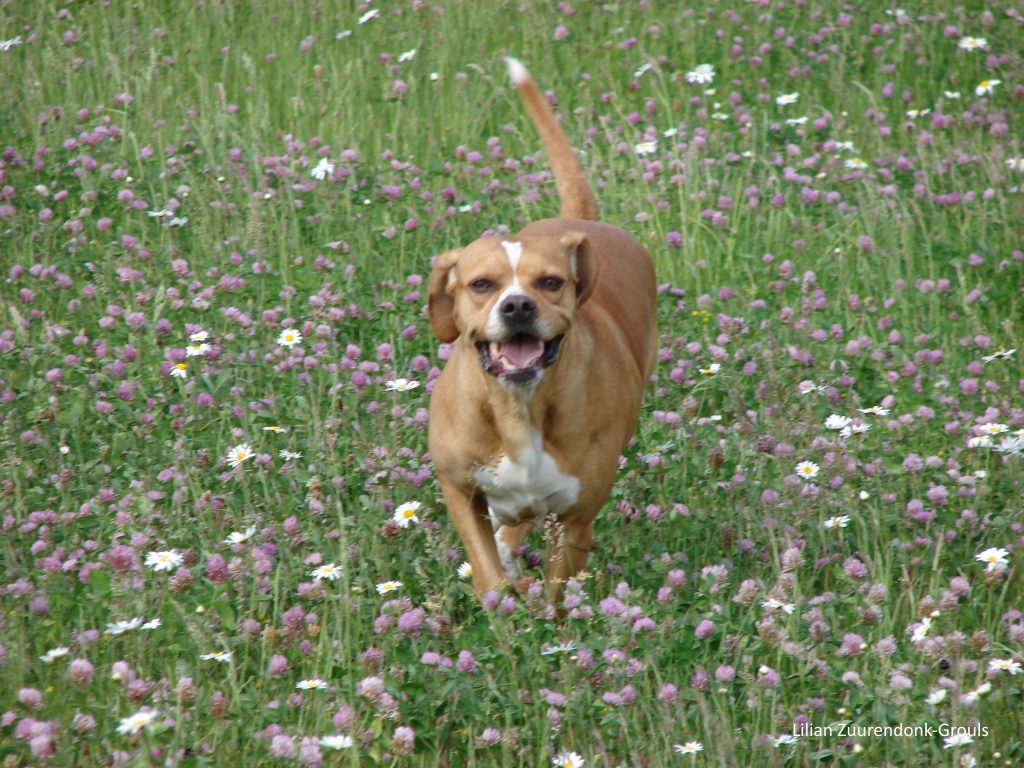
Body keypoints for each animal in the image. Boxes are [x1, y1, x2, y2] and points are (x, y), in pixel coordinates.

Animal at [423, 60, 655, 602]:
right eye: (481, 284)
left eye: (550, 282)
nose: (517, 306)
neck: (518, 405)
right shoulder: (460, 489)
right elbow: (488, 572)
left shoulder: (574, 517)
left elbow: (557, 596)